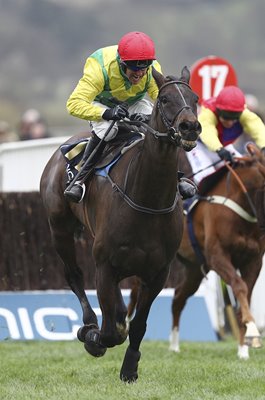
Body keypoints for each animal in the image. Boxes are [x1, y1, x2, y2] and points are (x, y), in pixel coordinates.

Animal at [39, 66, 200, 382]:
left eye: (195, 98)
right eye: (164, 99)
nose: (190, 127)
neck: (147, 198)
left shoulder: (158, 272)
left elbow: (137, 325)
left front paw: (130, 368)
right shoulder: (104, 266)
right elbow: (109, 333)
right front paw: (92, 338)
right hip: (59, 229)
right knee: (74, 276)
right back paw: (89, 323)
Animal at [169, 144, 264, 360]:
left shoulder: (253, 261)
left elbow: (245, 295)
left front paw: (243, 348)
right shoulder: (218, 257)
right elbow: (239, 287)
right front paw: (252, 330)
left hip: (194, 270)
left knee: (178, 299)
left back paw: (174, 345)